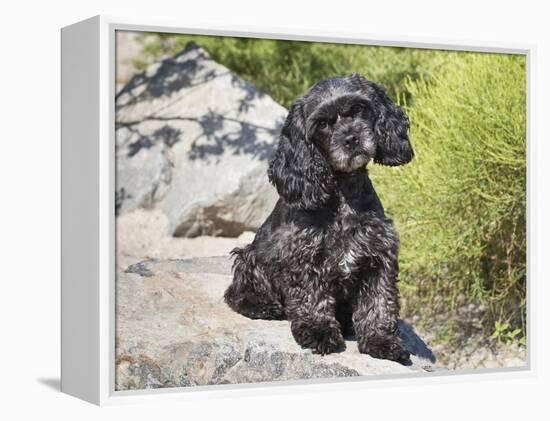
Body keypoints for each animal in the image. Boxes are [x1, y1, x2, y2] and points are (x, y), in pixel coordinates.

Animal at [224, 74, 414, 362]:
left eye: (358, 109)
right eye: (322, 124)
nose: (351, 139)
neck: (344, 194)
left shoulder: (378, 257)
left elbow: (380, 303)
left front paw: (382, 341)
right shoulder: (303, 256)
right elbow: (311, 299)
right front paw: (319, 332)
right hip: (250, 256)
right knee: (236, 293)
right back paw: (263, 305)